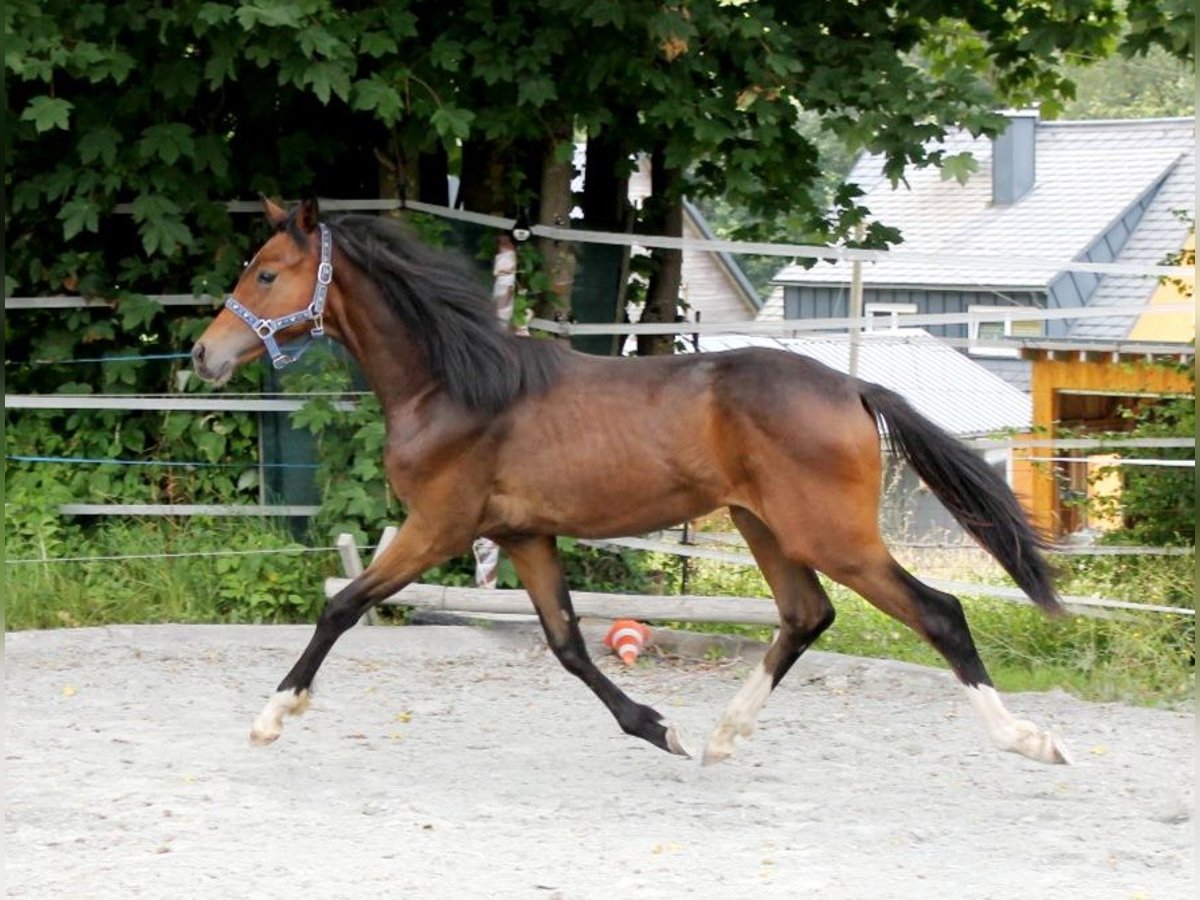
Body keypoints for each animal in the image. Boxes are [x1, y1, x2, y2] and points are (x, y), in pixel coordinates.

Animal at [192, 199, 1075, 768]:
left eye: (267, 274)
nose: (204, 354)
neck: (453, 387)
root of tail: (854, 388)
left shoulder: (438, 527)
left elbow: (341, 606)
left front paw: (273, 717)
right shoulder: (523, 535)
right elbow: (569, 646)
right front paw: (658, 728)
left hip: (834, 536)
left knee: (939, 613)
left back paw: (1030, 740)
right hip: (763, 526)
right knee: (806, 615)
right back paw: (719, 738)